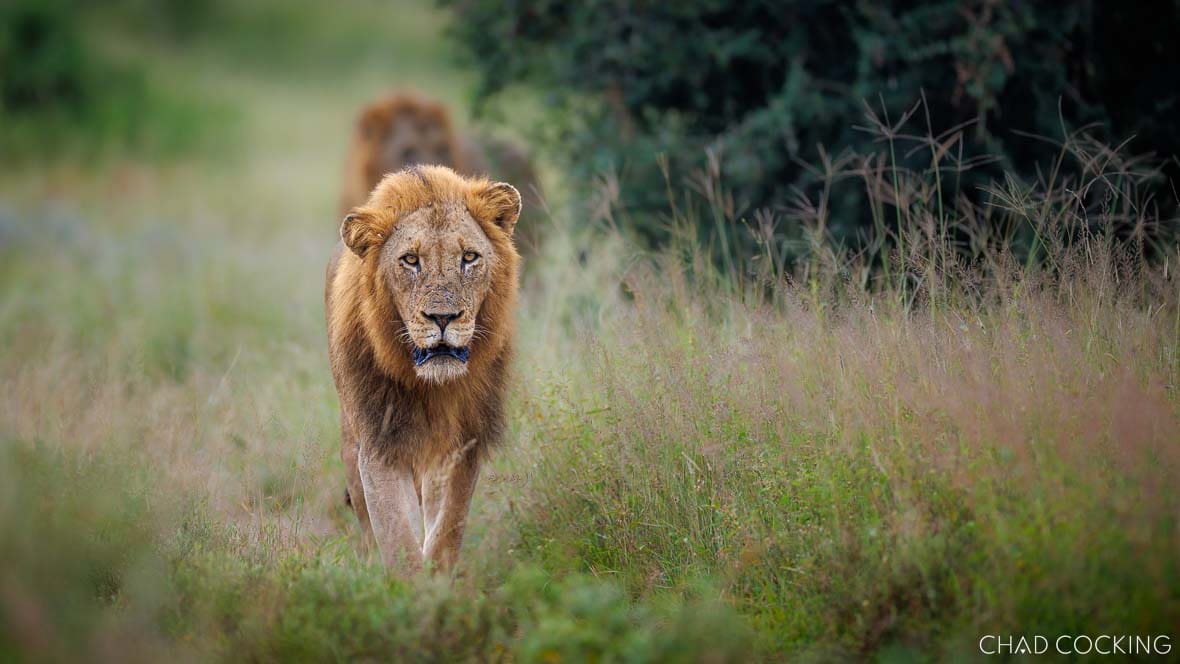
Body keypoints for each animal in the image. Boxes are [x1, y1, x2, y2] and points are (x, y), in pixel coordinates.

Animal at [326, 164, 522, 572]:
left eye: (469, 257)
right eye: (410, 260)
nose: (442, 317)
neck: (433, 388)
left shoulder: (463, 442)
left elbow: (448, 525)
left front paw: (437, 576)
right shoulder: (380, 443)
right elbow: (397, 536)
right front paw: (410, 585)